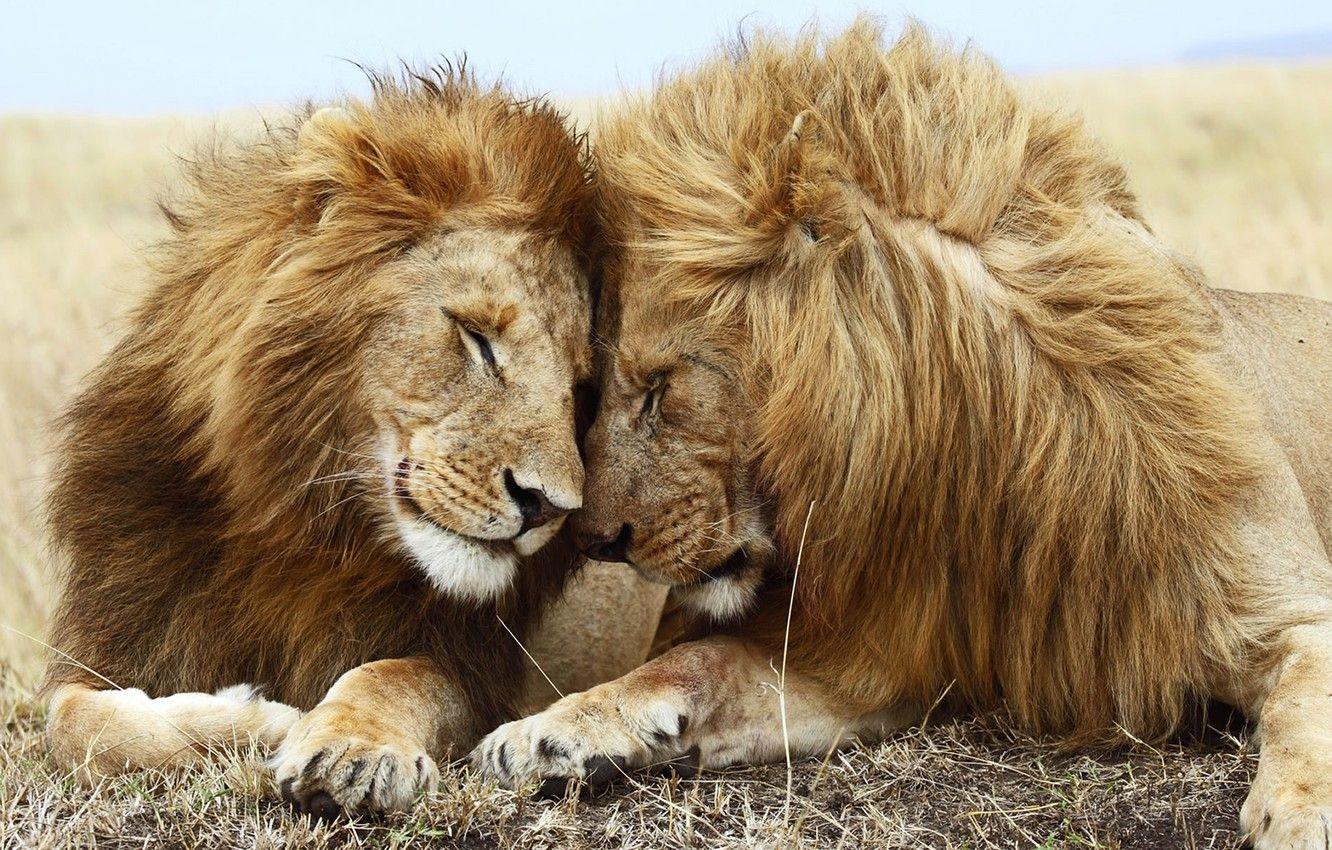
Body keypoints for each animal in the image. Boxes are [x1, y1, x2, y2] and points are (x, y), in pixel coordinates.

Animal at [40, 68, 664, 818]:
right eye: (477, 337)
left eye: (579, 387)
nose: (549, 506)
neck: (303, 528)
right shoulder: (121, 635)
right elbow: (72, 723)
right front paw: (253, 720)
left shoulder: (473, 669)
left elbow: (391, 675)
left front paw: (349, 750)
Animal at [473, 22, 1332, 847]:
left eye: (658, 386)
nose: (594, 541)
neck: (976, 449)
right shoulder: (878, 654)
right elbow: (698, 661)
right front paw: (548, 732)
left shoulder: (1290, 607)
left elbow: (1306, 710)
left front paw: (1298, 815)